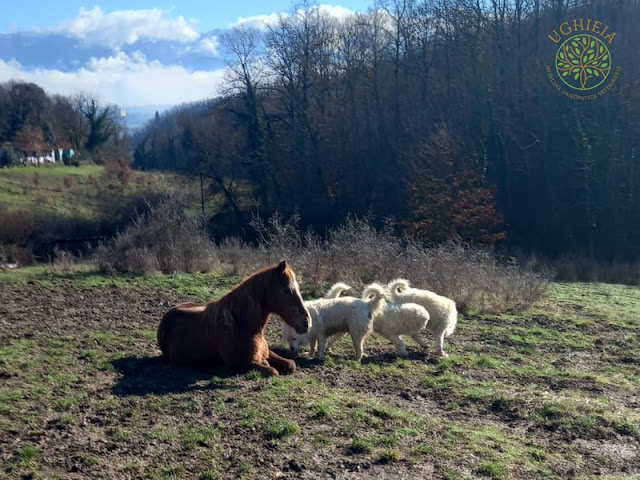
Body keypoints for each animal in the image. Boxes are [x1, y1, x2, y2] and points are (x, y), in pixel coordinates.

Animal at [158, 260, 312, 376]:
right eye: (287, 290)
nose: (307, 323)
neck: (242, 326)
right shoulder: (242, 363)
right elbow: (272, 371)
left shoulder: (267, 352)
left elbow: (291, 364)